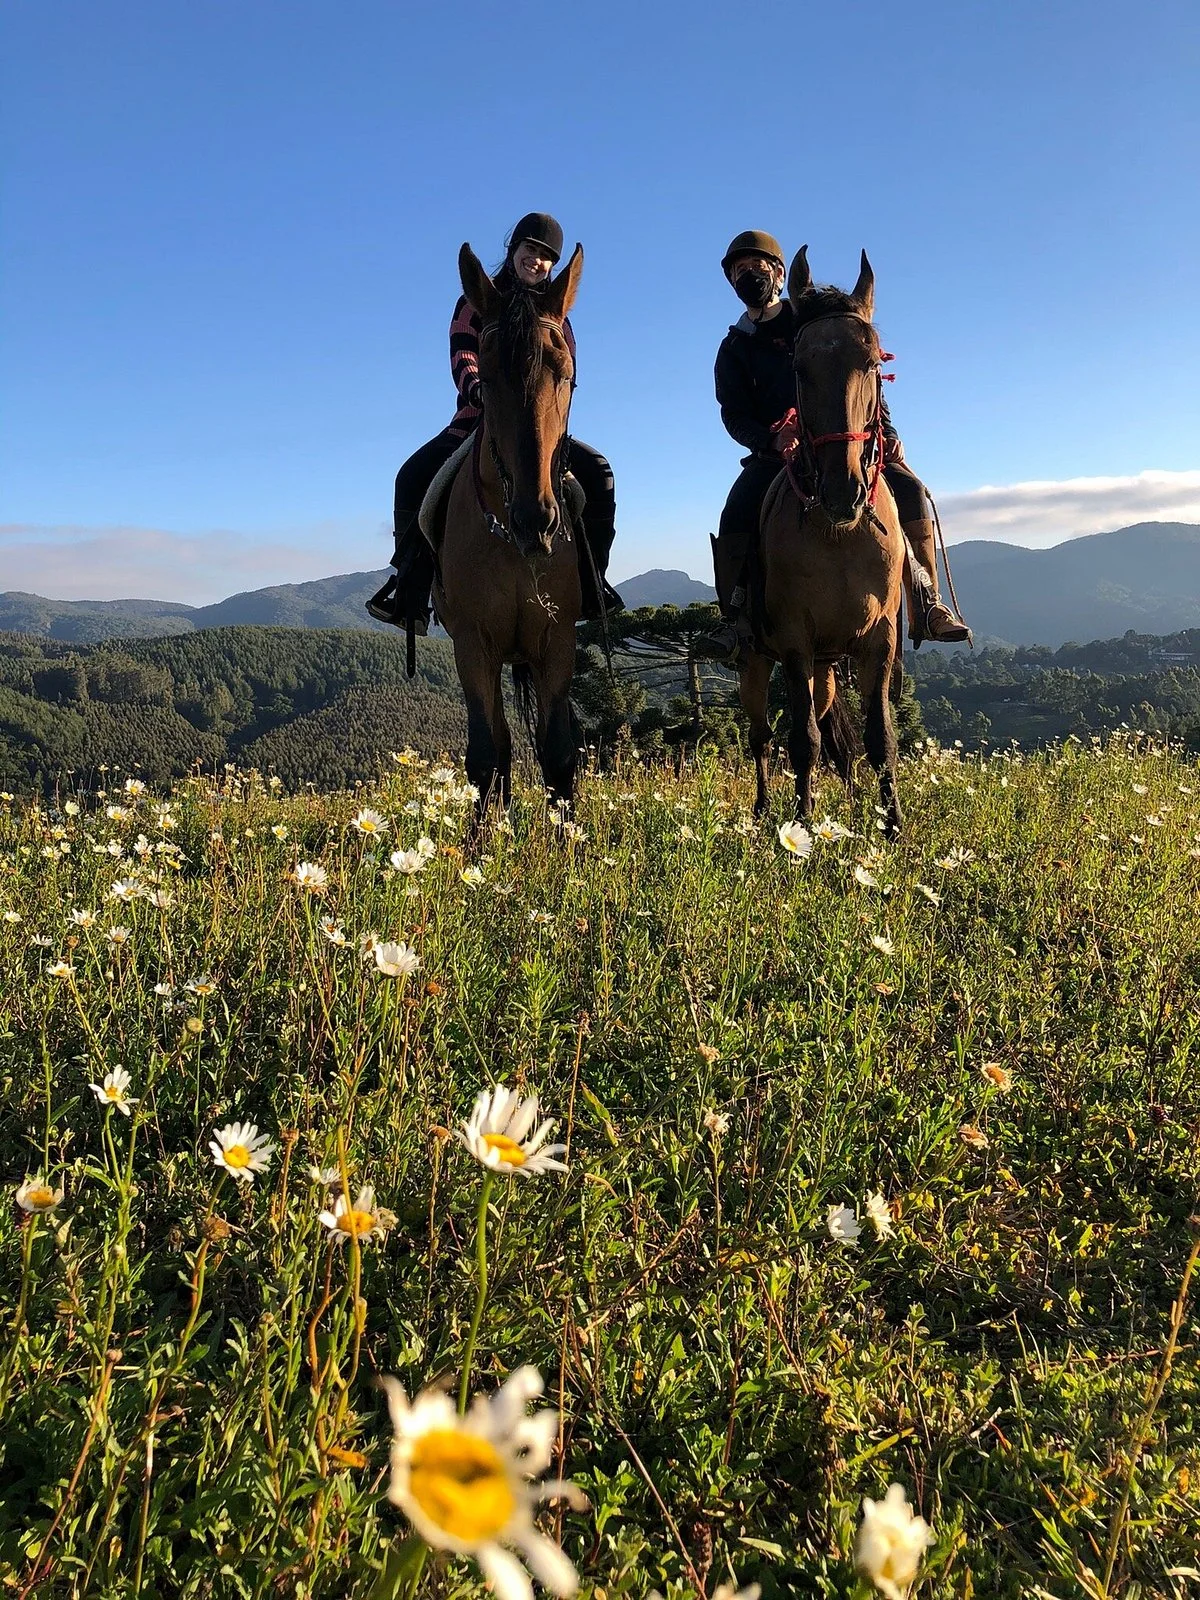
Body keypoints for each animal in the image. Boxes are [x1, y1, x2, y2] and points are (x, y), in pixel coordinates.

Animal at [430, 243, 585, 819]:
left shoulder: (557, 642)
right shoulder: (474, 646)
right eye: (487, 378)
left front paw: (569, 841)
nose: (534, 518)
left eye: (564, 373)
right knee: (498, 746)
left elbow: (557, 752)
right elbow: (484, 756)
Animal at [737, 248, 906, 836]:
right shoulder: (794, 643)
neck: (840, 535)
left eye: (873, 363)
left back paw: (853, 806)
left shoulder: (879, 640)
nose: (842, 490)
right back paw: (765, 811)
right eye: (798, 369)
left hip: (828, 668)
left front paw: (892, 826)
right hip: (757, 662)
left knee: (838, 736)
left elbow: (879, 737)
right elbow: (802, 740)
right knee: (762, 738)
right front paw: (803, 825)